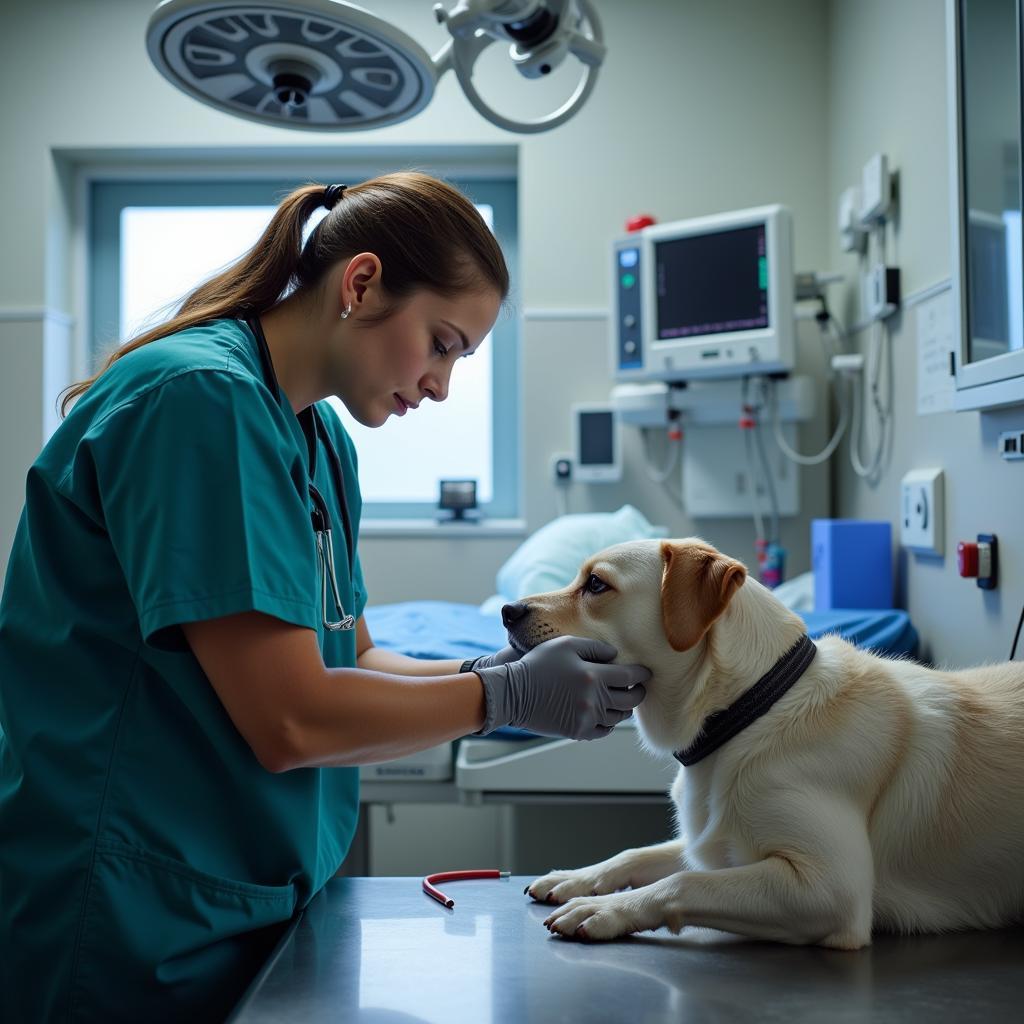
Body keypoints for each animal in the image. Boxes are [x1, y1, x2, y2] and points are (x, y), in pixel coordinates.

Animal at [509, 540, 1024, 946]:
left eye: (596, 584)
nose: (507, 611)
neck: (751, 710)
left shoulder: (830, 888)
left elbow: (683, 882)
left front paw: (605, 910)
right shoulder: (710, 841)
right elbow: (638, 853)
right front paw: (577, 878)